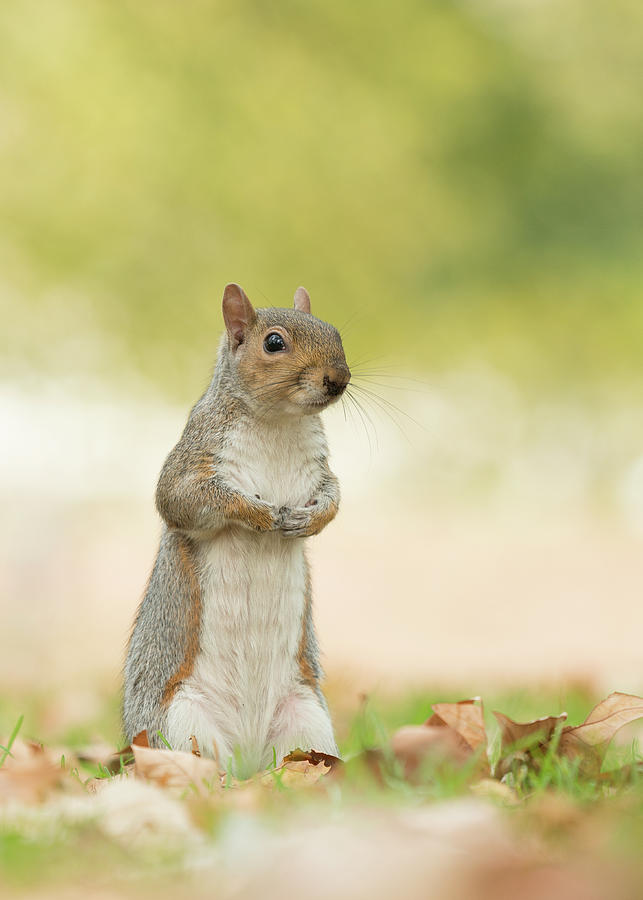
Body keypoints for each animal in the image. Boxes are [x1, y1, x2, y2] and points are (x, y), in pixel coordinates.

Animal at [122, 284, 350, 776]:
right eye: (274, 342)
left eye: (335, 332)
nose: (338, 379)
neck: (278, 420)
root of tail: (248, 757)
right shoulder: (196, 457)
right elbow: (181, 499)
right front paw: (258, 514)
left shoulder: (320, 471)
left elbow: (333, 497)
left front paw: (310, 519)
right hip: (179, 722)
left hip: (307, 717)